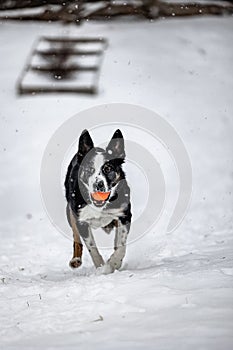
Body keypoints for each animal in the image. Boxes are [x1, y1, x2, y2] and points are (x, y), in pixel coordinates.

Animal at [64, 129, 132, 274]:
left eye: (108, 169)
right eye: (89, 169)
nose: (98, 184)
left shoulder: (124, 215)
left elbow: (121, 244)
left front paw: (114, 263)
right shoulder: (81, 220)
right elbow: (92, 247)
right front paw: (101, 267)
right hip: (70, 212)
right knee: (76, 237)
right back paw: (76, 259)